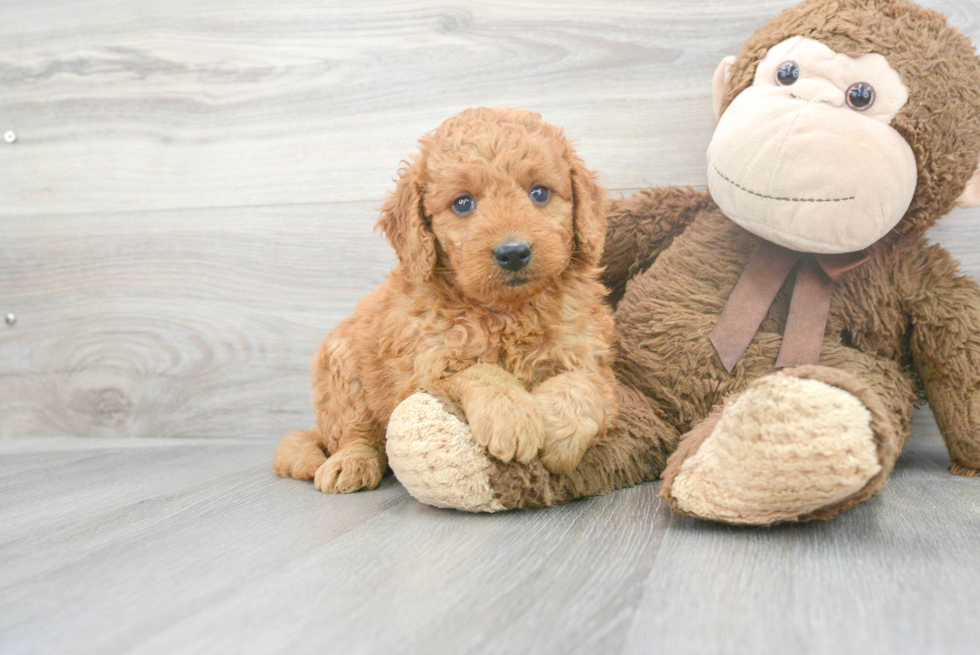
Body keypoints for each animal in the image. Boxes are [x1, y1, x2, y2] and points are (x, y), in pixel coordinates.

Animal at [272, 107, 616, 494]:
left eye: (540, 193)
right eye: (463, 203)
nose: (513, 252)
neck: (507, 312)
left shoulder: (593, 361)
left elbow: (584, 385)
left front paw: (558, 438)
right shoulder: (424, 368)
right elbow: (478, 370)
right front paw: (510, 416)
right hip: (342, 364)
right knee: (355, 433)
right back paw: (351, 462)